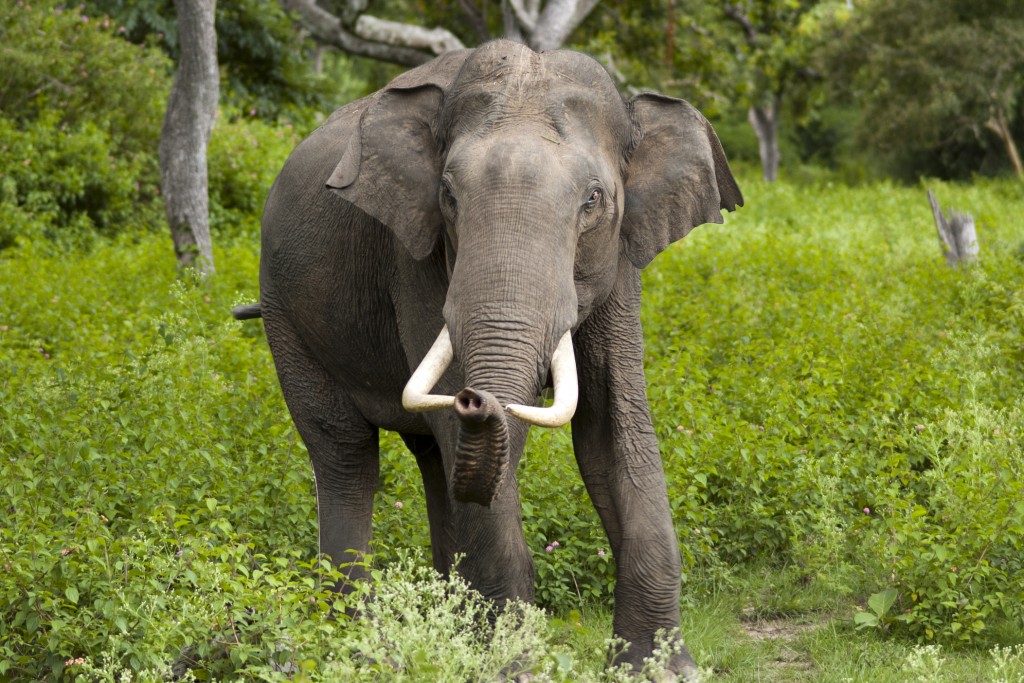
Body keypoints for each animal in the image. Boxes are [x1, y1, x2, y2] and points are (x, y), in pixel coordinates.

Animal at [234, 39, 742, 679]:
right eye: (449, 196)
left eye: (594, 200)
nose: (477, 398)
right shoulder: (415, 256)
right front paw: (512, 667)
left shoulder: (621, 258)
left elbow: (612, 429)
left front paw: (660, 669)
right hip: (284, 313)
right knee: (347, 454)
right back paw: (364, 647)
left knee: (432, 459)